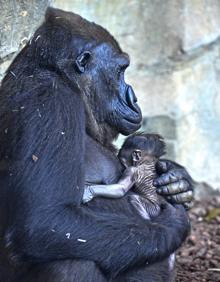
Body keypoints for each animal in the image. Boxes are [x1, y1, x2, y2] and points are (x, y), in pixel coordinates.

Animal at [0, 7, 192, 280]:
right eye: (120, 70)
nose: (134, 98)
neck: (58, 74)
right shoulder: (49, 100)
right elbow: (43, 221)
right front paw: (175, 223)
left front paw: (177, 180)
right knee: (71, 256)